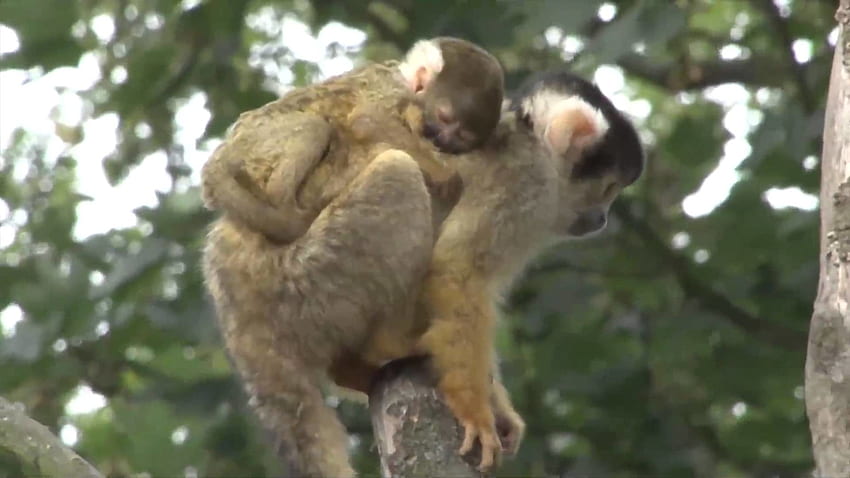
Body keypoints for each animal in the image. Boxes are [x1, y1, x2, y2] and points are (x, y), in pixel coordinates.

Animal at [201, 37, 500, 243]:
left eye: (462, 137)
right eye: (444, 118)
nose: (442, 140)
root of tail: (216, 163)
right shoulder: (392, 89)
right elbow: (366, 119)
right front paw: (445, 176)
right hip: (253, 146)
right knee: (313, 127)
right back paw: (284, 210)